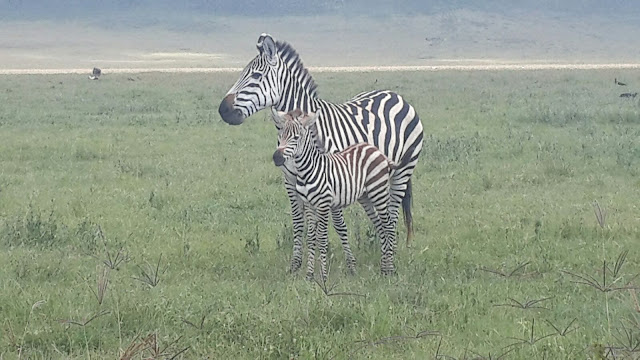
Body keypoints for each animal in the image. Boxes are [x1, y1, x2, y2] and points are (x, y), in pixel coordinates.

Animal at [272, 109, 412, 282]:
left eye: (296, 137)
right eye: (281, 135)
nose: (276, 157)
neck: (307, 171)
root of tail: (377, 151)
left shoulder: (324, 205)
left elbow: (322, 238)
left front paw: (323, 276)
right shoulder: (310, 205)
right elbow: (311, 238)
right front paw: (309, 275)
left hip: (378, 192)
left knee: (389, 226)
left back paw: (390, 269)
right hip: (365, 196)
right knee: (381, 226)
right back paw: (383, 268)